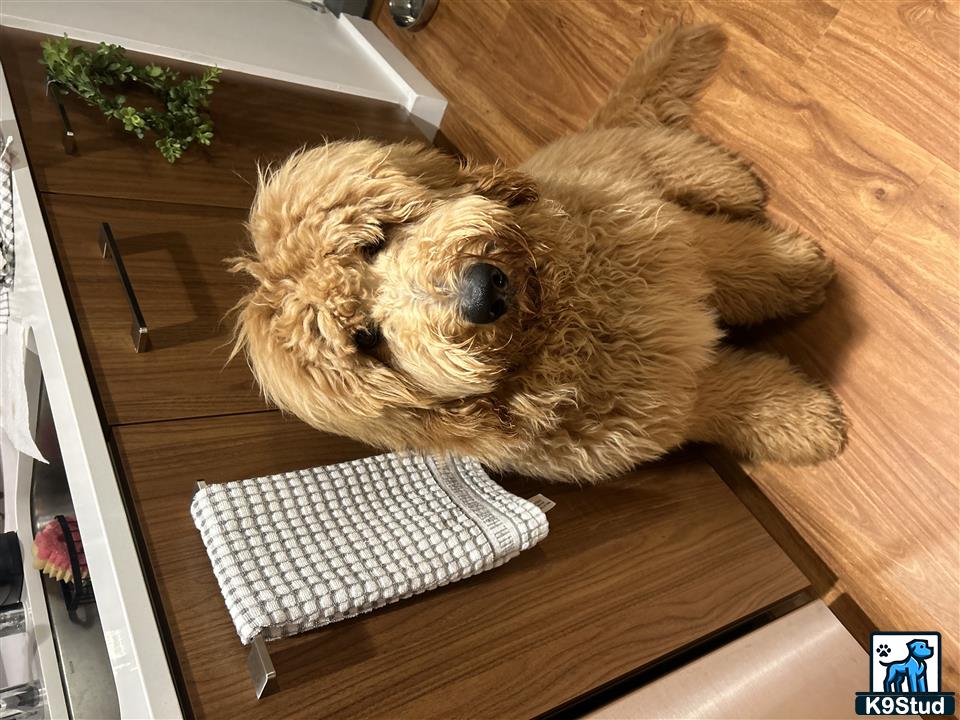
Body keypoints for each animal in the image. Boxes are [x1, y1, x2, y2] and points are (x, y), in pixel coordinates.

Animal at [234, 25, 848, 480]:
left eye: (374, 240)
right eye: (367, 340)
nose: (480, 291)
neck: (560, 314)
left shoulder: (679, 244)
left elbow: (740, 261)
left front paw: (800, 270)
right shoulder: (669, 408)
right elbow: (732, 399)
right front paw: (807, 422)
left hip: (648, 164)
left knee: (689, 163)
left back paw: (735, 182)